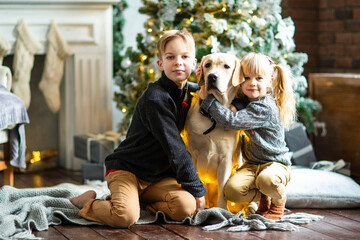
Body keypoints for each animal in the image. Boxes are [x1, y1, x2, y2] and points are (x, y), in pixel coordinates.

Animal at [184, 53, 243, 210]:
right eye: (207, 65)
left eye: (226, 66)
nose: (212, 77)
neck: (213, 117)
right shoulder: (193, 154)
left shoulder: (225, 159)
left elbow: (222, 191)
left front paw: (222, 211)